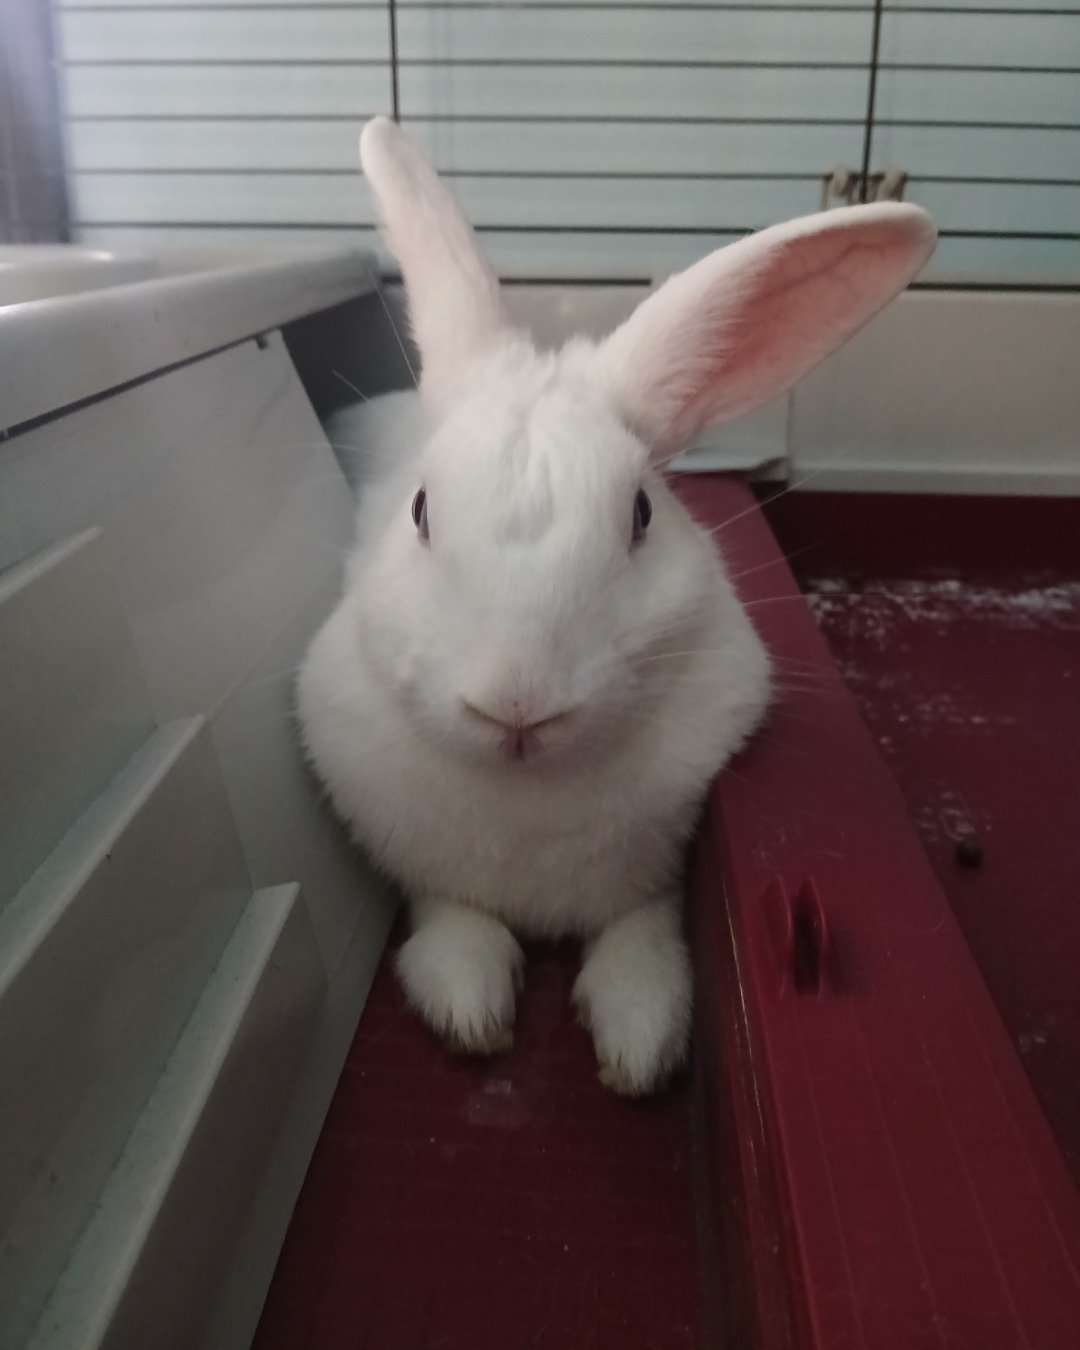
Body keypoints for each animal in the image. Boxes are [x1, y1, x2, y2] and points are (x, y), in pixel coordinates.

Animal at [297, 117, 936, 1095]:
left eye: (640, 514)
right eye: (419, 511)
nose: (516, 703)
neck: (526, 793)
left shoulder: (654, 876)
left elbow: (641, 940)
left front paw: (641, 1049)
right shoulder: (421, 870)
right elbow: (453, 925)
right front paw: (472, 1015)